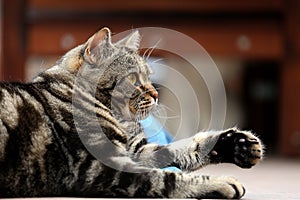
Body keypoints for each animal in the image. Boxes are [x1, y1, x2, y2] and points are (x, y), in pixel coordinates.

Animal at [0, 27, 262, 198]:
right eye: (135, 78)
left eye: (149, 75)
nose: (156, 94)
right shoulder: (101, 165)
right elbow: (166, 178)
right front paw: (220, 182)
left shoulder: (135, 151)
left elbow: (182, 148)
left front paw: (237, 143)